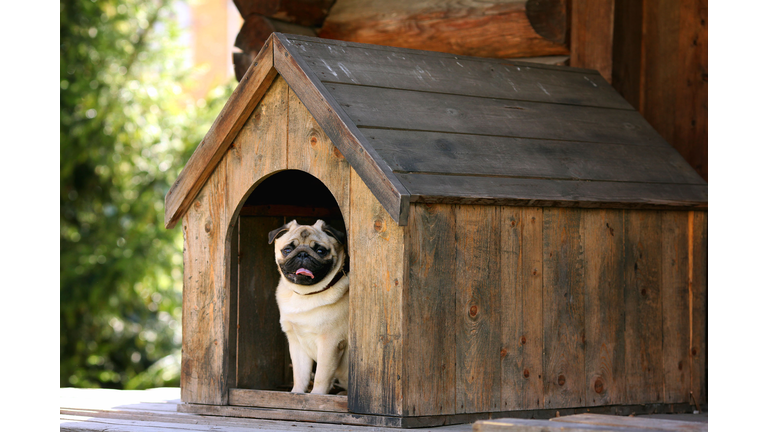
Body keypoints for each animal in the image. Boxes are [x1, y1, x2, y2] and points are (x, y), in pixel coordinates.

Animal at [266, 221, 346, 394]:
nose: (303, 254)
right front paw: (297, 393)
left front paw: (316, 396)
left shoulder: (330, 343)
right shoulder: (297, 343)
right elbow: (300, 375)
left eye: (320, 251)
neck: (305, 294)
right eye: (287, 250)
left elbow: (321, 377)